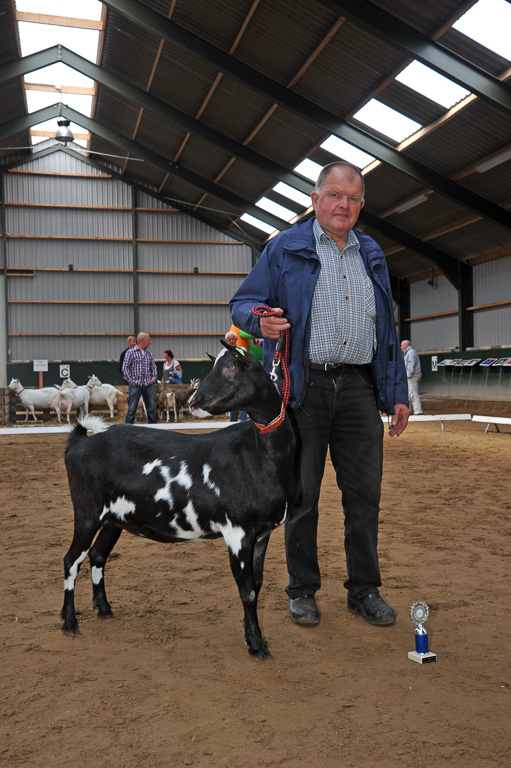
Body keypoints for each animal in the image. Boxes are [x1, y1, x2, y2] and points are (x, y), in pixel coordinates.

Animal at [60, 342, 298, 660]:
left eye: (230, 366)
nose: (195, 400)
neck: (261, 454)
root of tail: (82, 440)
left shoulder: (261, 533)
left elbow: (256, 586)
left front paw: (253, 637)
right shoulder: (237, 532)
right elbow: (246, 590)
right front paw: (257, 645)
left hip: (114, 519)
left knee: (98, 555)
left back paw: (104, 609)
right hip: (87, 512)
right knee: (71, 559)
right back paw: (69, 622)